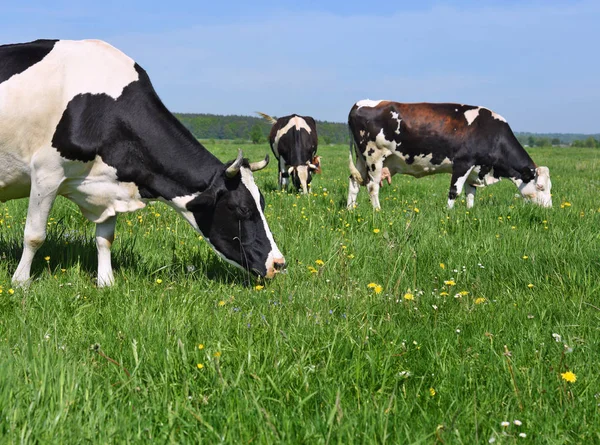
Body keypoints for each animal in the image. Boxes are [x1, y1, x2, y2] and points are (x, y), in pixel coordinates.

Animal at [0, 40, 286, 286]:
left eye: (262, 203)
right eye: (242, 209)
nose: (279, 263)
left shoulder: (111, 184)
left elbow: (105, 239)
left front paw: (106, 283)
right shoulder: (46, 174)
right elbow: (34, 236)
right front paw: (20, 282)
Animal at [346, 100, 552, 210]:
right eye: (540, 187)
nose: (549, 209)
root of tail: (360, 104)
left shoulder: (475, 169)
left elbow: (470, 193)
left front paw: (470, 212)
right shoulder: (463, 163)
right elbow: (454, 191)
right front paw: (449, 213)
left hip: (361, 160)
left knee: (354, 182)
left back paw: (350, 209)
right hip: (374, 157)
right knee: (372, 186)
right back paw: (377, 211)